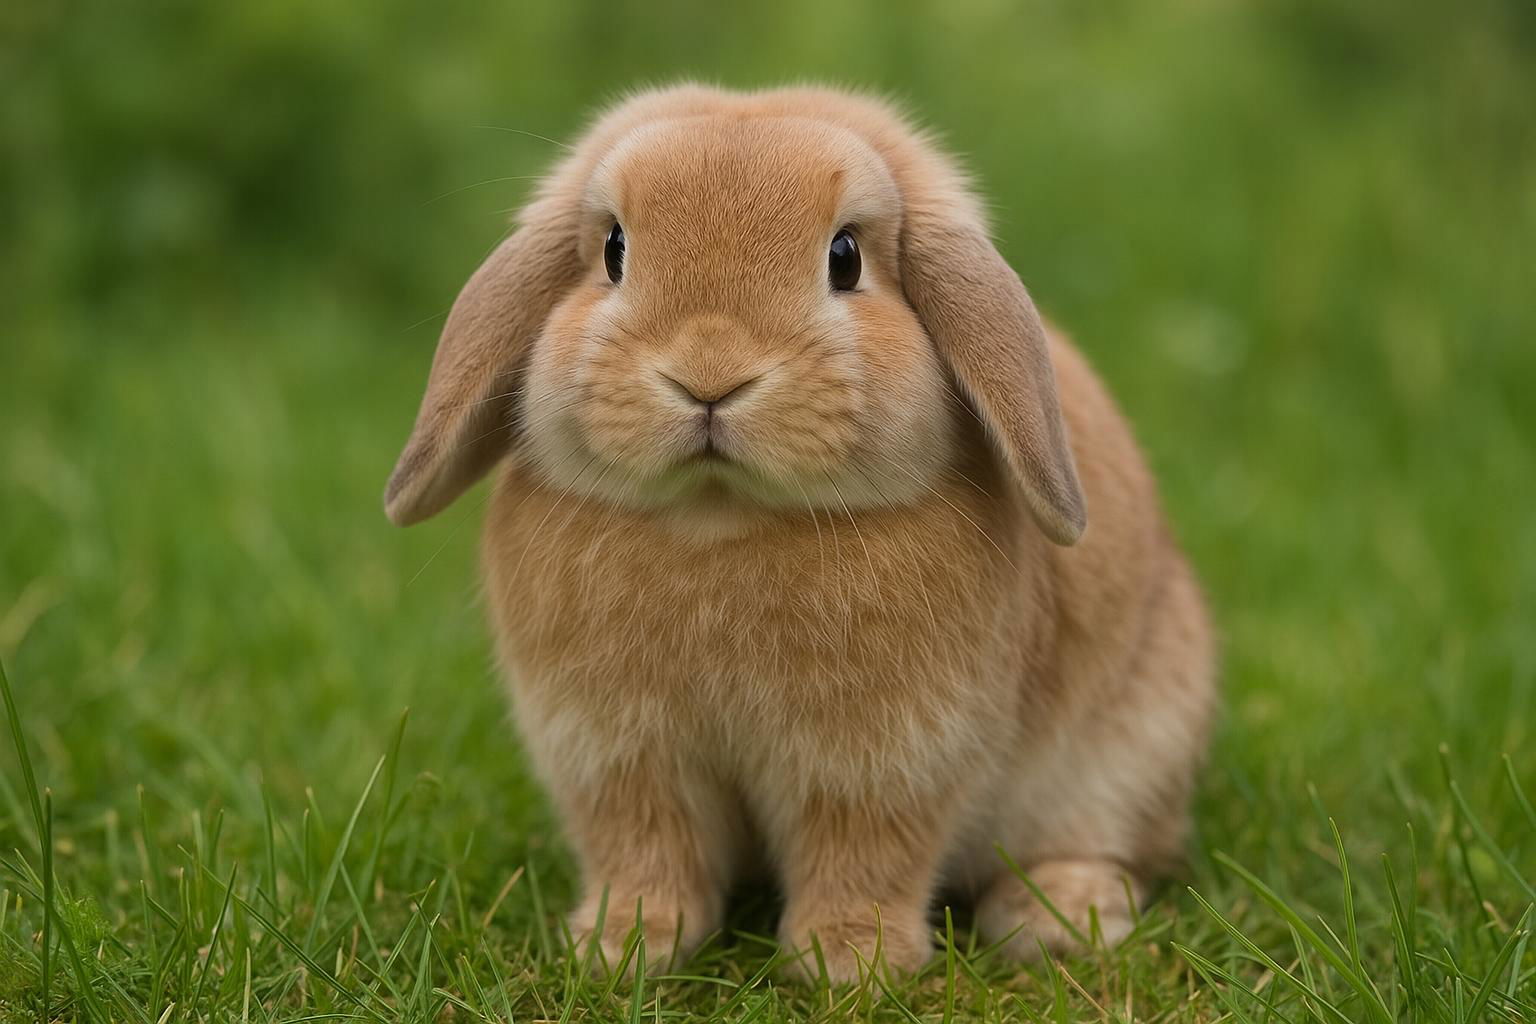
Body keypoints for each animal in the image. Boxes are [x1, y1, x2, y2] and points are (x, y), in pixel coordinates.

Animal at [383, 84, 1216, 983]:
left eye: (844, 257)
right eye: (613, 250)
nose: (709, 375)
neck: (721, 518)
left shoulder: (886, 761)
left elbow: (862, 855)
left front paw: (849, 962)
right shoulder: (618, 756)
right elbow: (648, 849)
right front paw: (623, 945)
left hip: (1127, 752)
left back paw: (1058, 920)